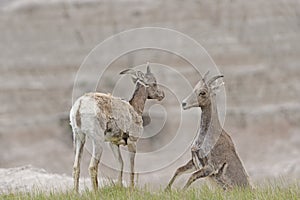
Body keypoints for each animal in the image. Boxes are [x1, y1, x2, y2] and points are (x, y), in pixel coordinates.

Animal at [69, 64, 165, 192]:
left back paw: (76, 193)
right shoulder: (132, 142)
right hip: (97, 141)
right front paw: (131, 188)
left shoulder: (113, 144)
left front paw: (119, 186)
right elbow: (131, 167)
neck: (134, 108)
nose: (162, 94)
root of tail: (80, 105)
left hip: (79, 138)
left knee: (76, 167)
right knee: (92, 167)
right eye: (154, 83)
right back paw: (96, 193)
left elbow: (120, 164)